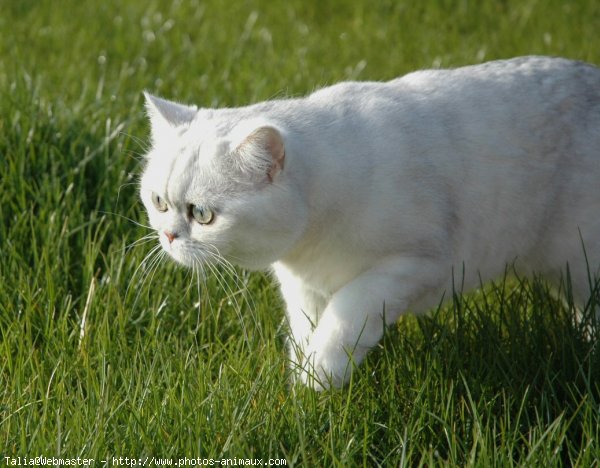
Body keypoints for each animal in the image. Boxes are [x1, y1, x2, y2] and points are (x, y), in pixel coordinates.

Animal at [142, 56, 600, 390]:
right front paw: (302, 384)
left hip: (582, 266)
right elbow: (306, 330)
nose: (168, 235)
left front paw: (316, 383)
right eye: (159, 202)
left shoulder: (410, 266)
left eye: (203, 214)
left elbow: (343, 321)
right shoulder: (302, 287)